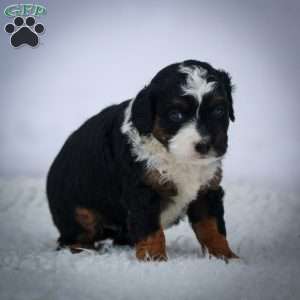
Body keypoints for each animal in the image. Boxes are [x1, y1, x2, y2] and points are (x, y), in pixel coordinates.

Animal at [46, 59, 239, 262]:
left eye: (219, 110)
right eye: (175, 115)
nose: (204, 145)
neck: (176, 158)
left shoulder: (207, 190)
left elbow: (212, 227)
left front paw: (225, 257)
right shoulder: (143, 191)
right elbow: (150, 230)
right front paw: (154, 259)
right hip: (78, 213)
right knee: (73, 237)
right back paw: (84, 251)